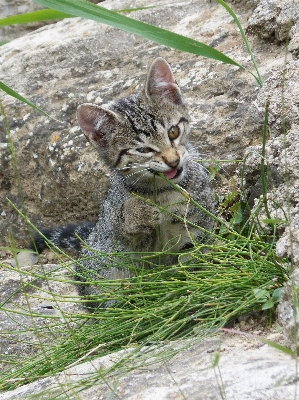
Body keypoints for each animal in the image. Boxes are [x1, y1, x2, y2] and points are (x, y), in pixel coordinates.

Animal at [34, 57, 214, 310]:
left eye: (173, 131)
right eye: (143, 150)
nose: (173, 161)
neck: (163, 191)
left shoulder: (198, 224)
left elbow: (193, 256)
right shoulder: (120, 233)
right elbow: (123, 221)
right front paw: (138, 211)